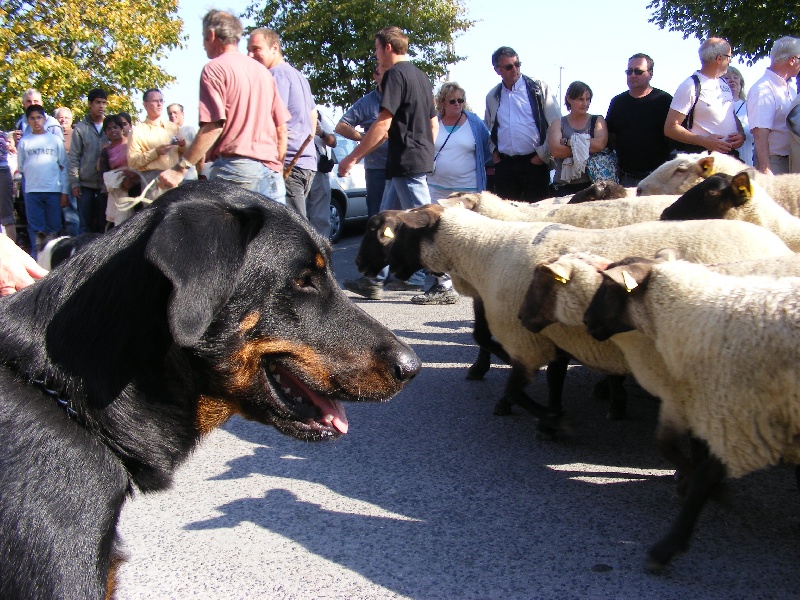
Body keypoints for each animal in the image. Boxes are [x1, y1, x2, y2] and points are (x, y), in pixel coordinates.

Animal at [356, 206, 792, 436]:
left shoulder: (527, 340)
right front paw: (556, 410)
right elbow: (553, 379)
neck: (485, 252)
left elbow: (517, 383)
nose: (362, 266)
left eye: (396, 234)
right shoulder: (552, 338)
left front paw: (552, 422)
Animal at [580, 258, 800, 572]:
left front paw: (667, 547)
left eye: (609, 288)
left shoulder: (739, 418)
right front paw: (693, 484)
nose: (586, 321)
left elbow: (703, 476)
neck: (691, 315)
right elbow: (667, 445)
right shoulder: (702, 405)